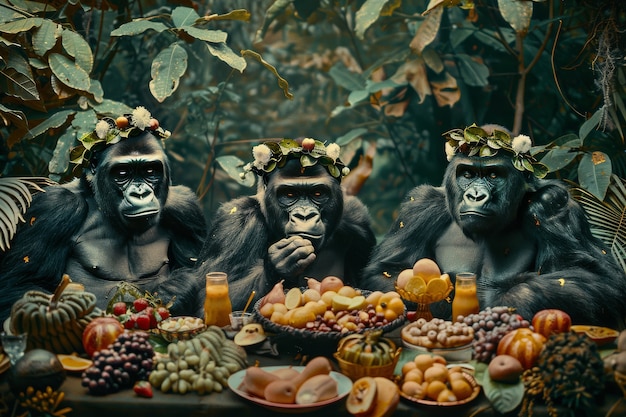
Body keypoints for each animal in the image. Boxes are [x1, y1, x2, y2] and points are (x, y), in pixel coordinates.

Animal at [0, 107, 206, 322]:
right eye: (122, 173)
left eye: (150, 170)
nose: (140, 193)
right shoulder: (54, 206)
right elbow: (20, 285)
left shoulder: (185, 208)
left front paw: (179, 288)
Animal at [185, 138, 376, 314]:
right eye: (289, 194)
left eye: (318, 193)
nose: (304, 215)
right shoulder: (235, 220)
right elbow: (206, 299)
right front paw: (278, 265)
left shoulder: (356, 217)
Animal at [358, 123, 624, 328]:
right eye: (467, 174)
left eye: (493, 175)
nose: (475, 195)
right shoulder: (419, 206)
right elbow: (387, 272)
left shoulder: (553, 204)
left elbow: (598, 278)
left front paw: (507, 297)